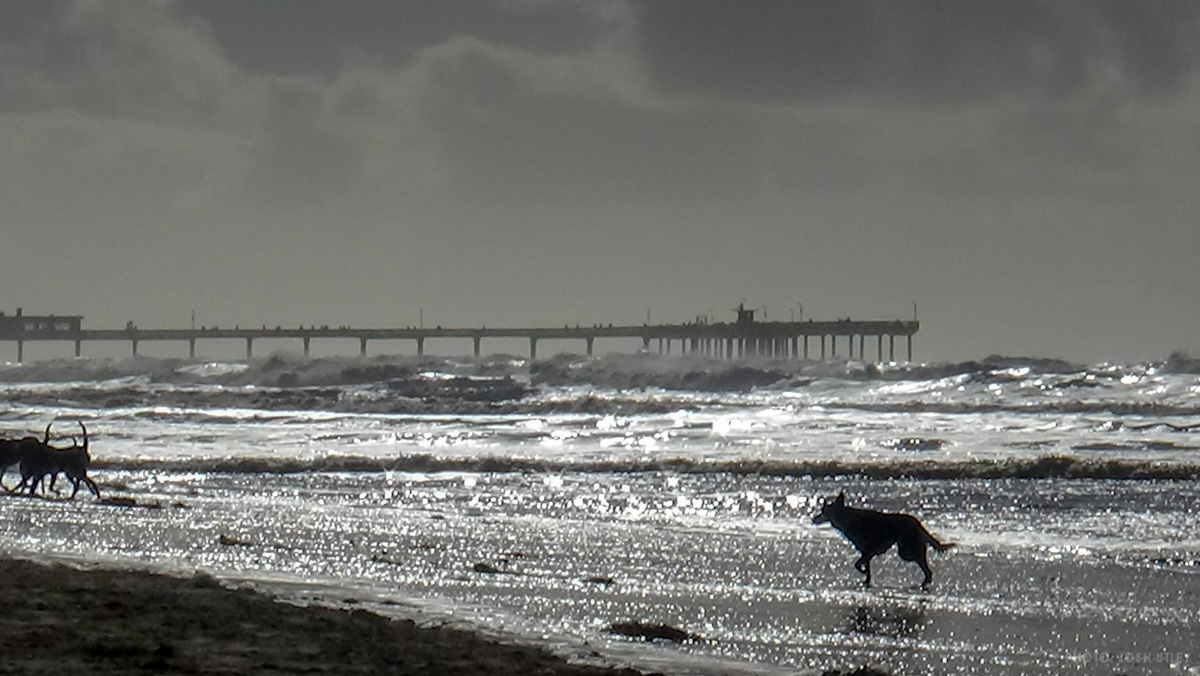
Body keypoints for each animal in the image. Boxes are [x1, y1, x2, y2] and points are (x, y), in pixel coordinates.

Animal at [816, 492, 955, 593]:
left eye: (823, 512)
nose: (813, 519)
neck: (846, 518)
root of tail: (918, 524)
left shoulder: (869, 552)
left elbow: (857, 565)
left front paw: (864, 574)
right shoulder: (866, 554)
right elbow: (866, 569)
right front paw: (867, 581)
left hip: (906, 552)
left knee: (927, 570)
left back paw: (923, 584)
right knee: (926, 569)